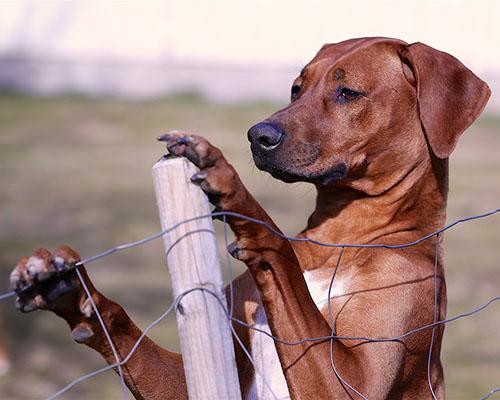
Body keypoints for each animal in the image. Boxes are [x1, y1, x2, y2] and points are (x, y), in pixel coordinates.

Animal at [9, 36, 490, 396]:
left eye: (348, 92)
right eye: (296, 88)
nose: (258, 135)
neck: (342, 237)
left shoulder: (356, 382)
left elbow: (276, 245)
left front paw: (233, 188)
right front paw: (70, 288)